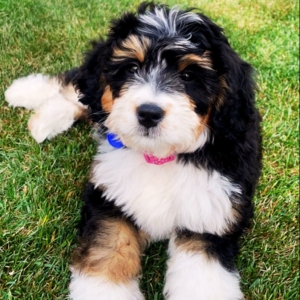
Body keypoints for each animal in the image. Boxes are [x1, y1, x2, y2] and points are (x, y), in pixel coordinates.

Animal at [5, 2, 262, 300]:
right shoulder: (110, 199)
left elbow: (200, 279)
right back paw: (24, 94)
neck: (159, 155)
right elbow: (108, 254)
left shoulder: (211, 215)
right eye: (131, 68)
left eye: (188, 76)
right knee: (78, 87)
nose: (149, 113)